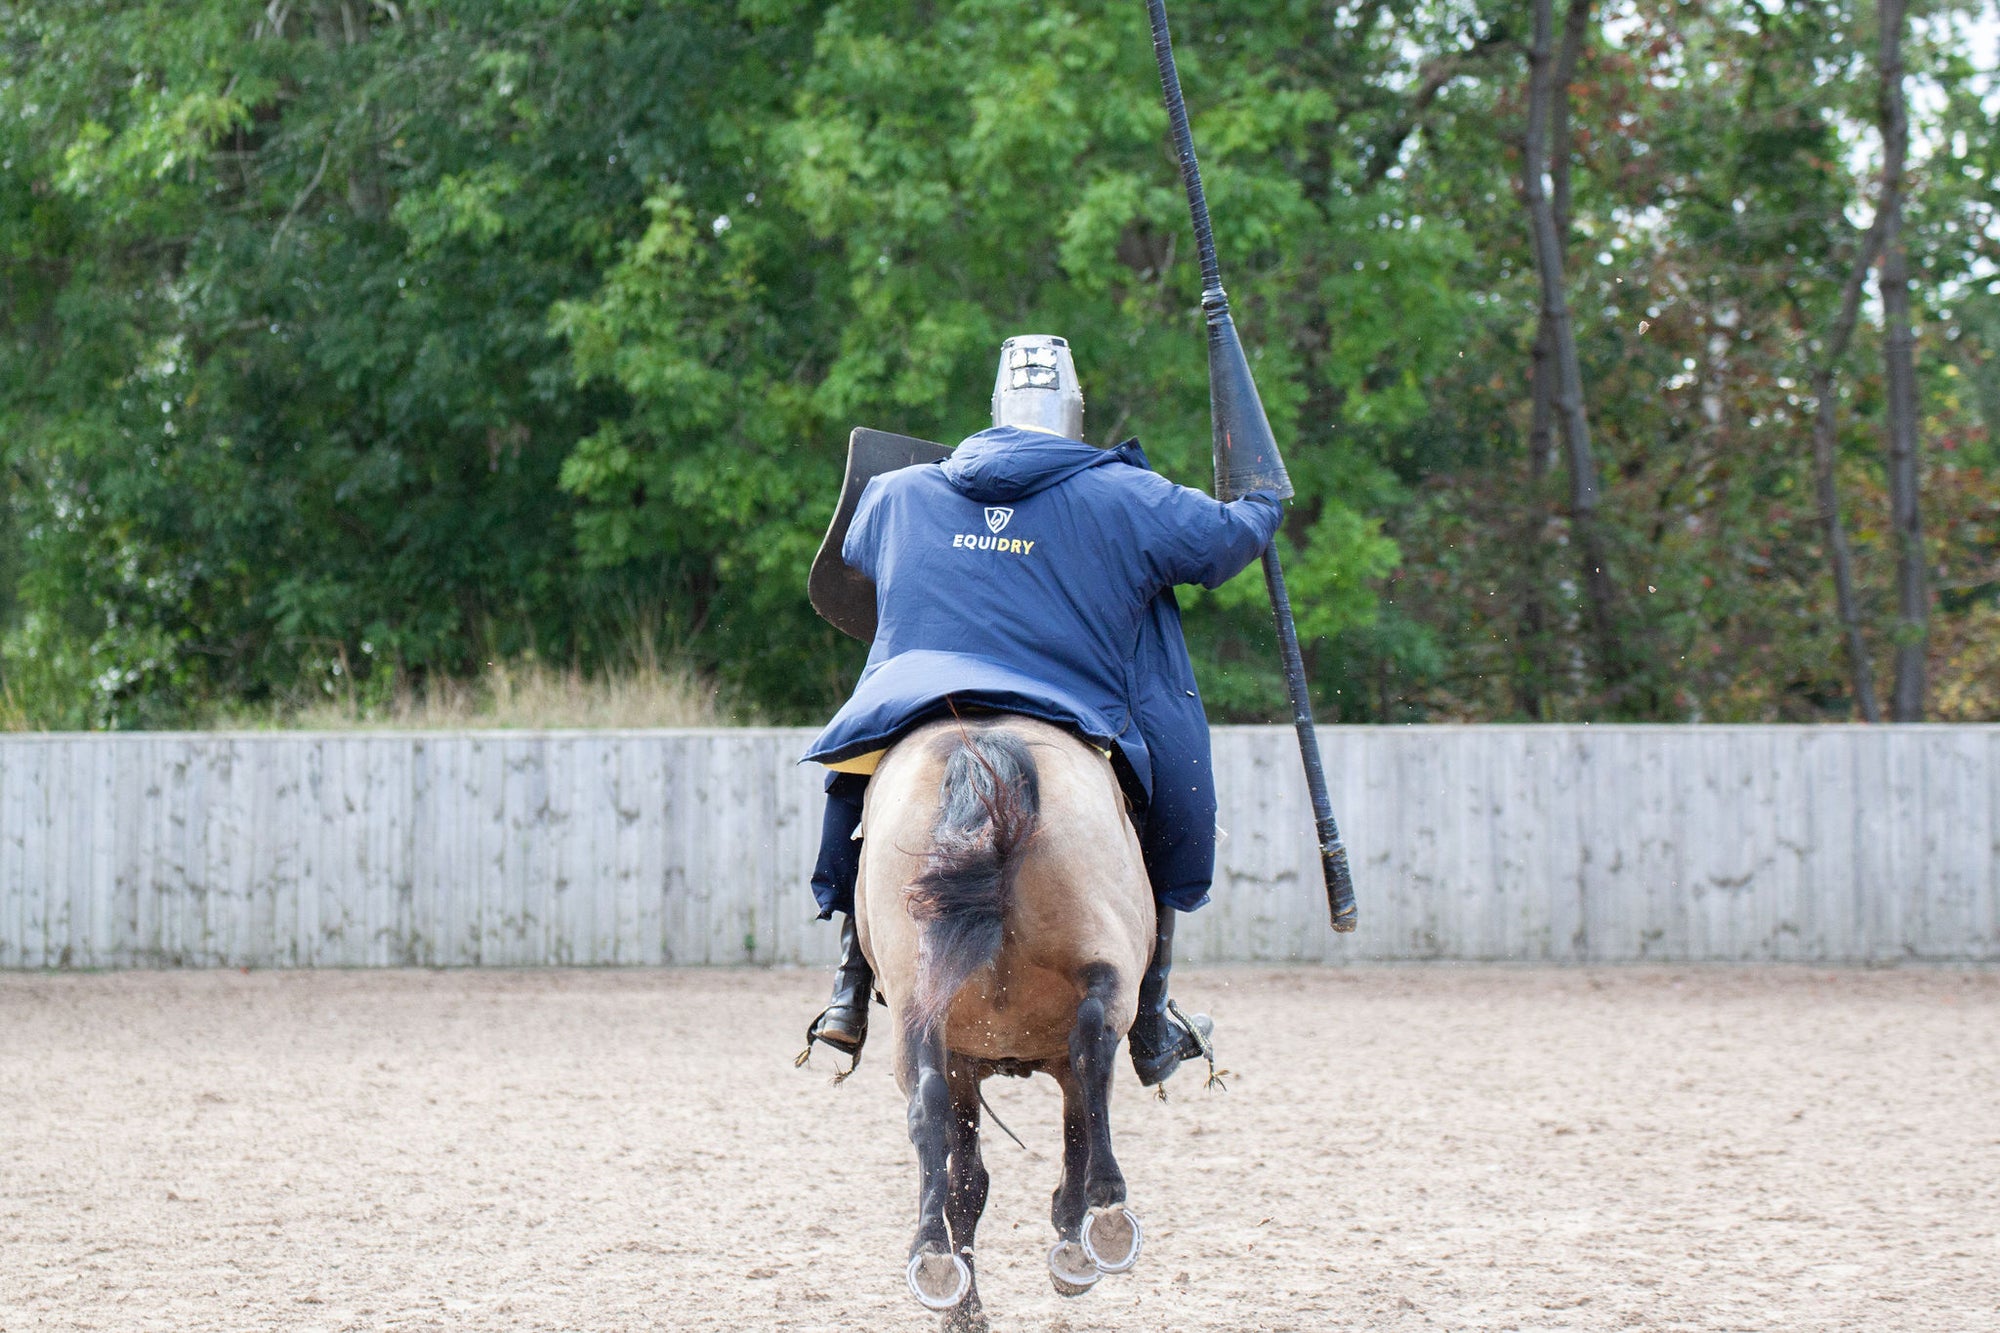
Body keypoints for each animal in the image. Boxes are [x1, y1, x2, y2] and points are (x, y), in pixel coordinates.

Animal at [856, 712, 1168, 1320]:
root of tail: (984, 747)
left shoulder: (959, 1060)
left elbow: (967, 1182)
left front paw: (965, 1305)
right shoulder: (999, 1063)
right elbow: (1070, 1132)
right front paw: (1071, 1241)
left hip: (918, 1008)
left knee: (925, 1102)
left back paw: (932, 1256)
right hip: (1099, 973)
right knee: (1093, 1046)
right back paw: (1107, 1216)